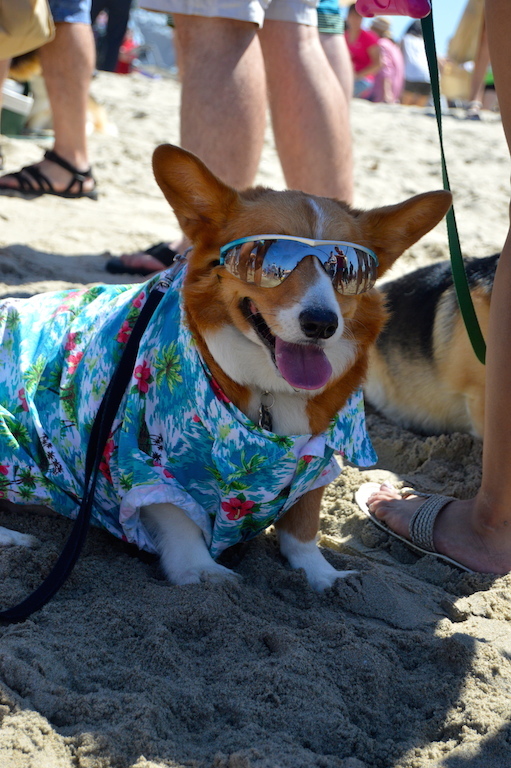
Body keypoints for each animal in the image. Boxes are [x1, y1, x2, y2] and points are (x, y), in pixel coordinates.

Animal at [0, 146, 452, 592]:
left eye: (349, 271)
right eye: (269, 259)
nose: (322, 323)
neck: (269, 389)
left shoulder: (317, 460)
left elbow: (302, 528)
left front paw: (323, 576)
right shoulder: (145, 461)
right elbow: (179, 520)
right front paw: (204, 573)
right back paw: (13, 539)